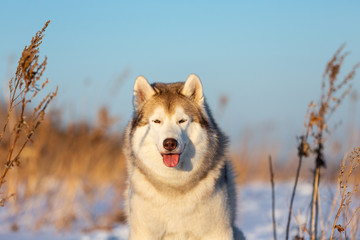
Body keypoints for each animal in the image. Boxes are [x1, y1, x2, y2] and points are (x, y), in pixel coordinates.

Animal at [124, 74, 245, 239]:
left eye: (182, 120)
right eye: (157, 121)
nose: (170, 143)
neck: (174, 184)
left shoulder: (217, 231)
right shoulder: (144, 232)